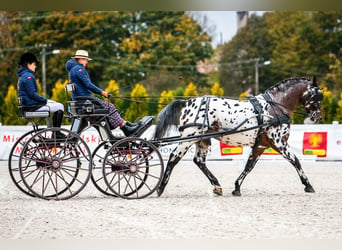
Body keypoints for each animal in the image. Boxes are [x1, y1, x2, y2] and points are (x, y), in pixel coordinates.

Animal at [153, 77, 324, 196]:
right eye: (317, 96)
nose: (318, 117)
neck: (274, 106)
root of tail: (188, 102)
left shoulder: (260, 145)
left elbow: (249, 166)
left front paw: (237, 188)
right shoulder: (279, 143)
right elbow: (295, 160)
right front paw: (308, 185)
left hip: (202, 140)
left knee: (199, 161)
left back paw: (217, 186)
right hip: (188, 138)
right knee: (174, 157)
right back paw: (160, 187)